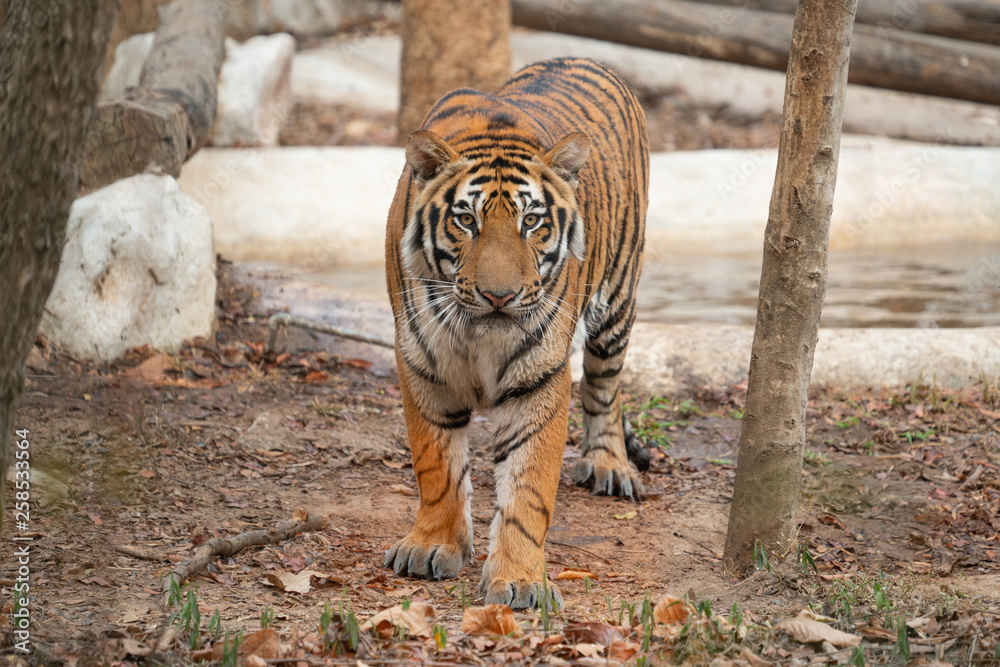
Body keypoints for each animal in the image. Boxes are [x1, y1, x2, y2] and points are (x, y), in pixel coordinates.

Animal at [380, 58, 648, 612]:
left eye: (532, 222)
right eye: (465, 220)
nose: (499, 296)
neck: (477, 336)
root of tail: (587, 59)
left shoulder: (539, 378)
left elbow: (529, 490)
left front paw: (520, 580)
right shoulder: (422, 364)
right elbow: (435, 467)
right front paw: (432, 545)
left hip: (617, 300)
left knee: (604, 386)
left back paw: (609, 464)